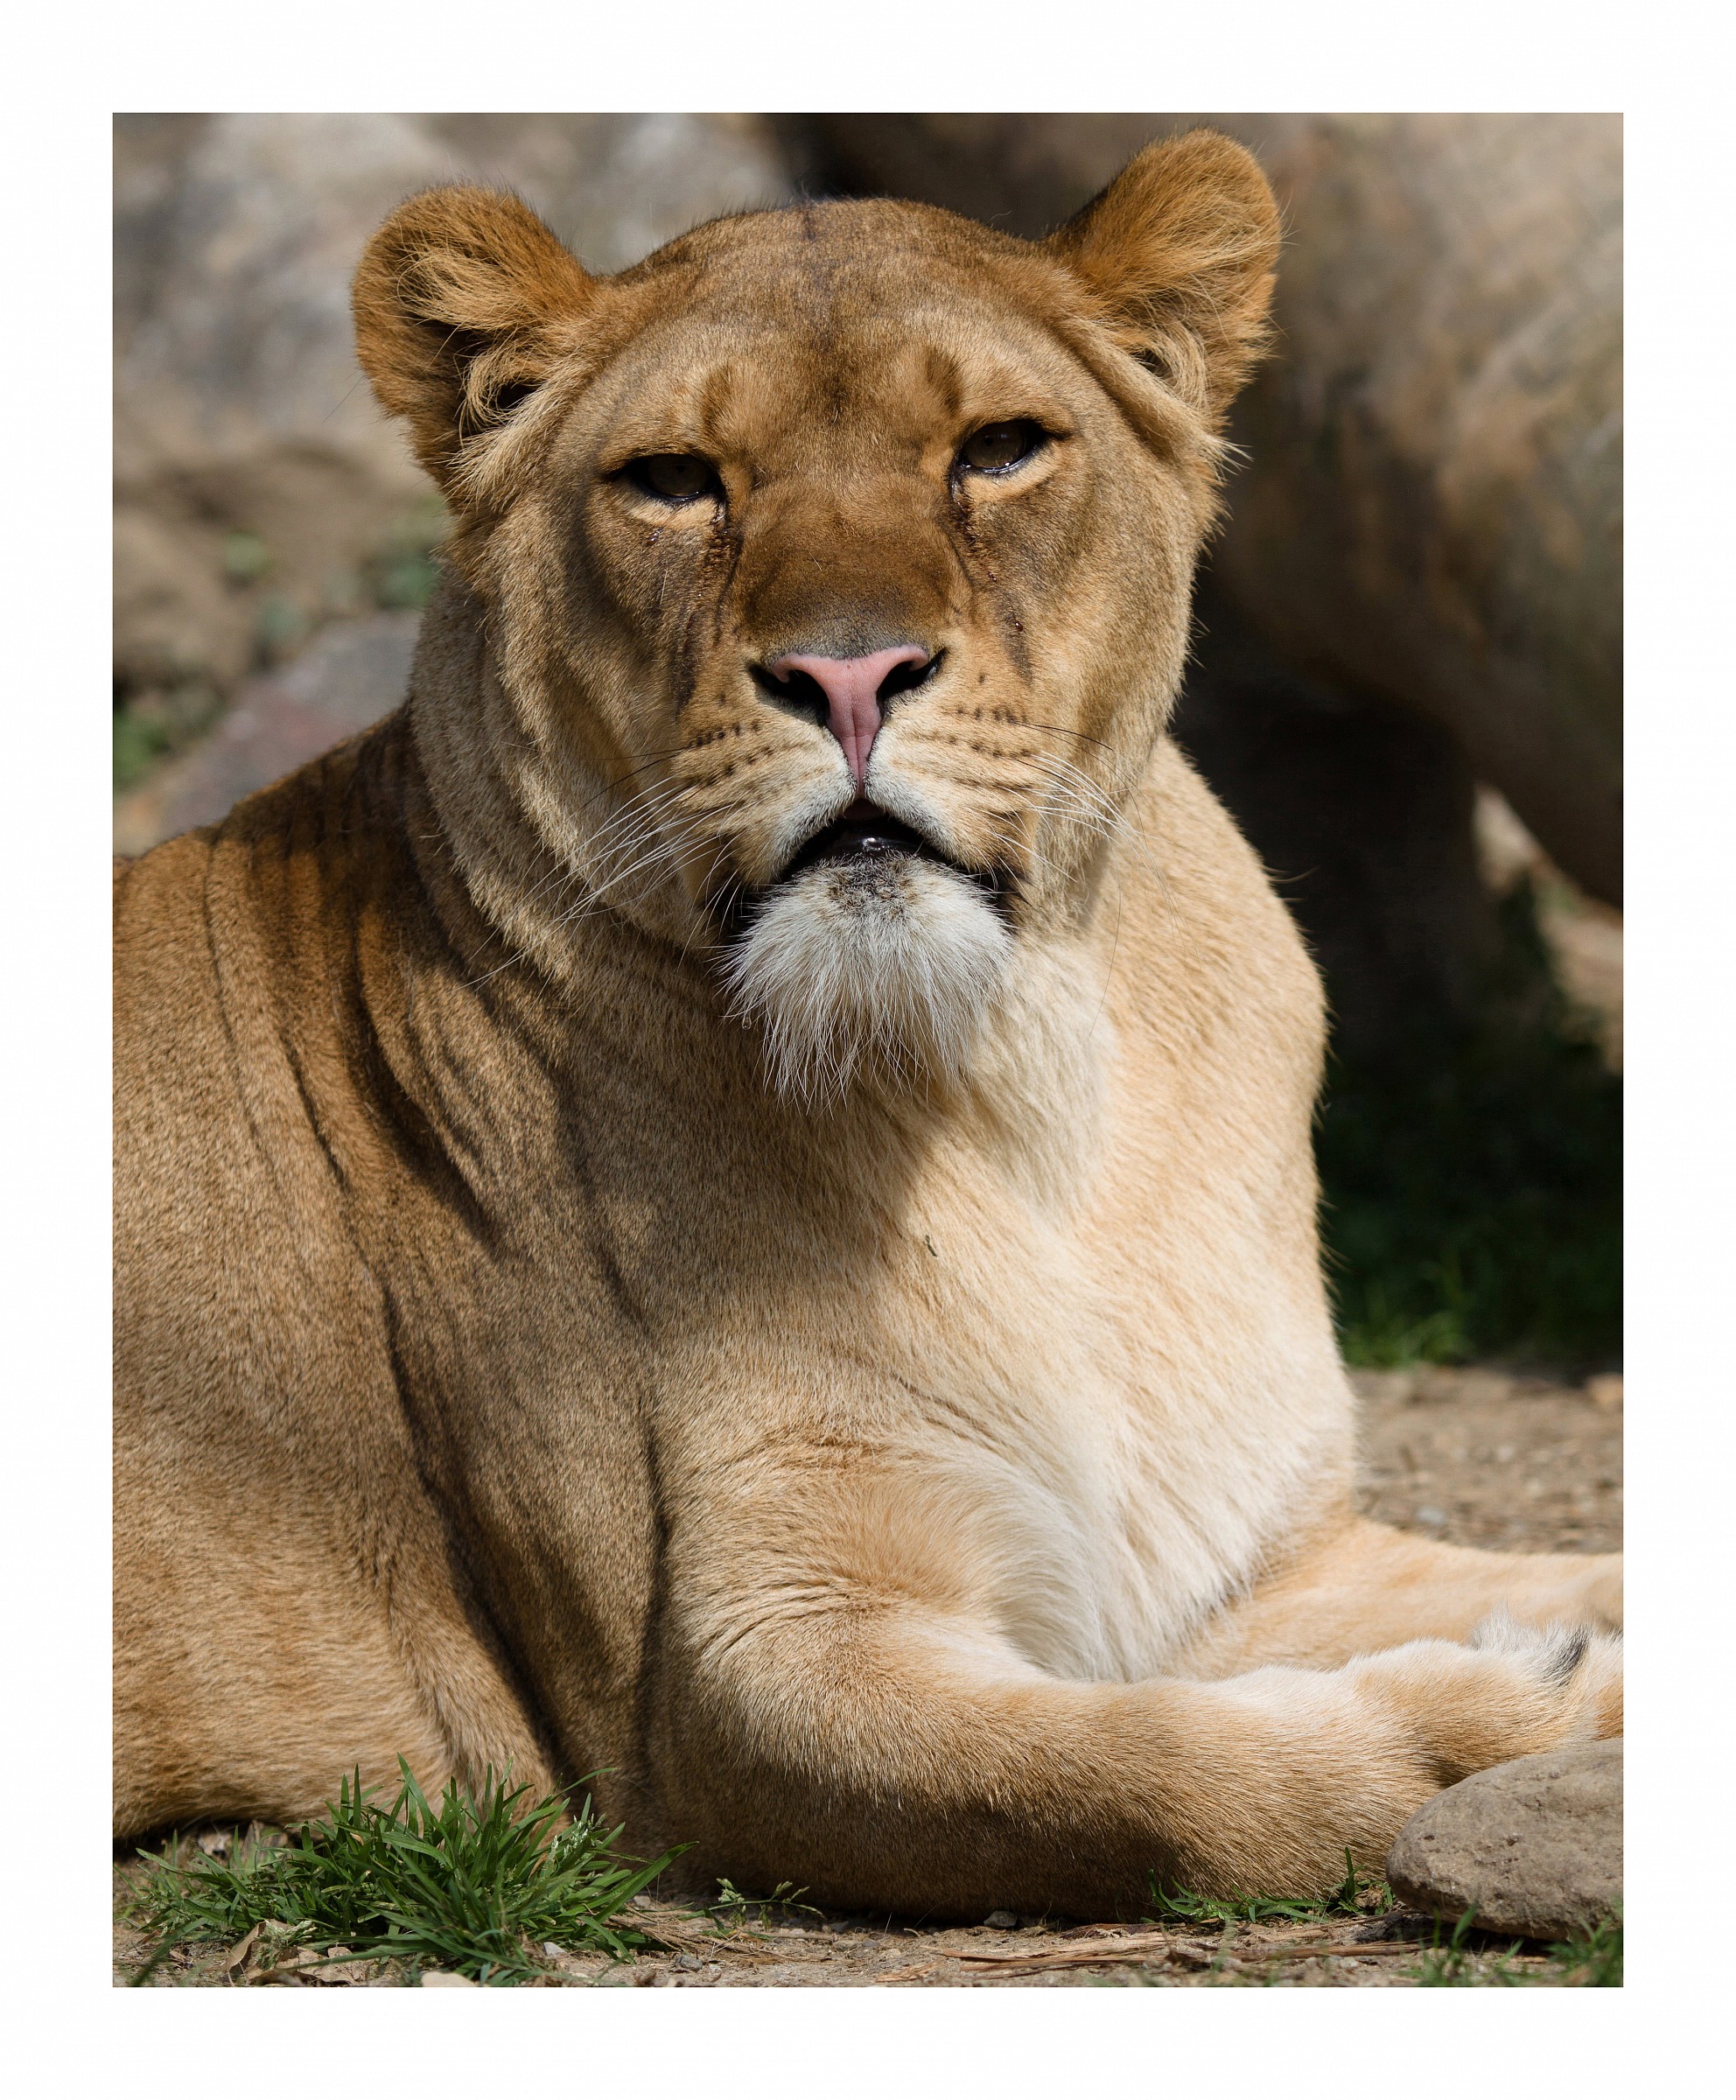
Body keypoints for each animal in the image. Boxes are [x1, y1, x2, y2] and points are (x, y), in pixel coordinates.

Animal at [113, 131, 1620, 1918]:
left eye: (998, 449)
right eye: (673, 480)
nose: (848, 674)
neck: (1026, 1085)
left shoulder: (1246, 1560)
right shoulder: (728, 1691)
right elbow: (1163, 1782)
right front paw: (1515, 1709)